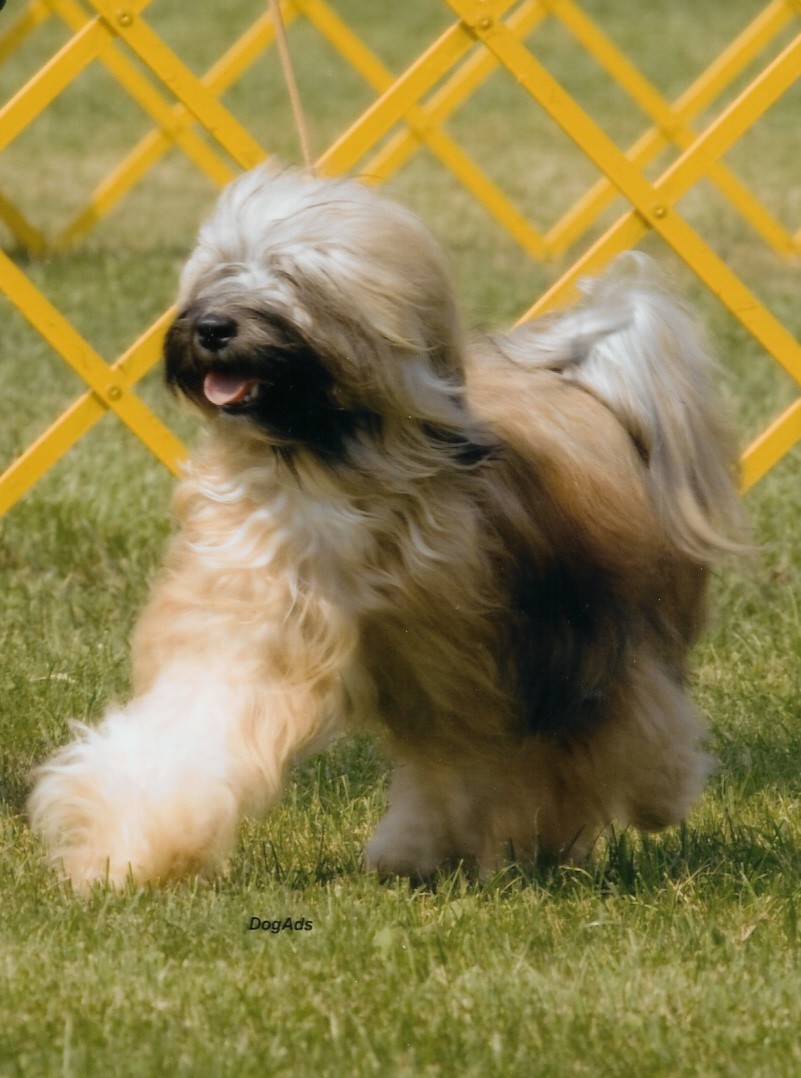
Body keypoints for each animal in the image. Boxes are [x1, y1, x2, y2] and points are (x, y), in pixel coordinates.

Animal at [29, 163, 746, 888]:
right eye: (221, 268)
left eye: (292, 276)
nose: (212, 326)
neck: (330, 464)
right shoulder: (253, 624)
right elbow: (193, 730)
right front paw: (123, 849)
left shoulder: (478, 665)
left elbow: (500, 757)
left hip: (600, 630)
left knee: (621, 718)